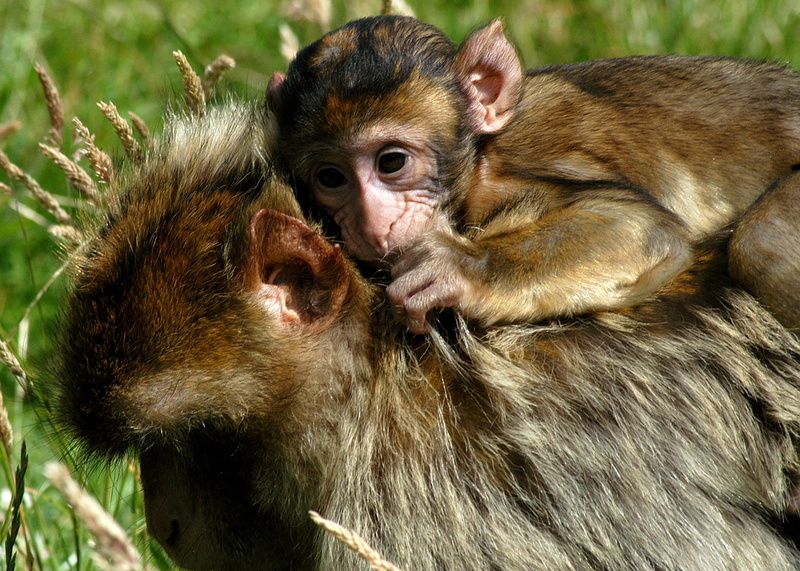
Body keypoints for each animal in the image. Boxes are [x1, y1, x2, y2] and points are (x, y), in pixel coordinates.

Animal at [266, 15, 800, 334]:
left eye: (391, 162)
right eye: (331, 178)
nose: (371, 223)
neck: (478, 161)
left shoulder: (506, 183)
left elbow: (639, 226)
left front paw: (461, 269)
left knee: (761, 245)